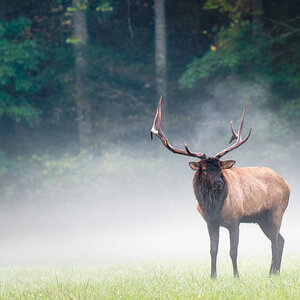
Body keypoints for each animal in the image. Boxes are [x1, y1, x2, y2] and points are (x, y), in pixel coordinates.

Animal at [151, 97, 290, 278]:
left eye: (220, 168)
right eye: (203, 169)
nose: (219, 182)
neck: (213, 207)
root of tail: (287, 184)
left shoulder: (235, 220)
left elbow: (233, 251)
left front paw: (236, 275)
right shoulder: (210, 222)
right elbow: (213, 250)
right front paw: (213, 276)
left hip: (276, 211)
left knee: (275, 242)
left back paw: (272, 273)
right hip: (261, 219)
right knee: (280, 239)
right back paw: (275, 272)